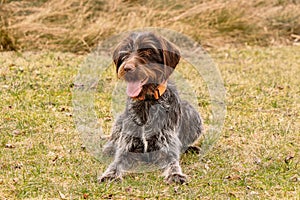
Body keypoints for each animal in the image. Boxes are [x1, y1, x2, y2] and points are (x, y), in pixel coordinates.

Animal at [98, 32, 204, 184]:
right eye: (125, 53)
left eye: (148, 51)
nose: (127, 68)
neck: (146, 103)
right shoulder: (126, 145)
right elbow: (116, 161)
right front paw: (110, 174)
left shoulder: (167, 145)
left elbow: (173, 162)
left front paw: (175, 174)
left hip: (193, 113)